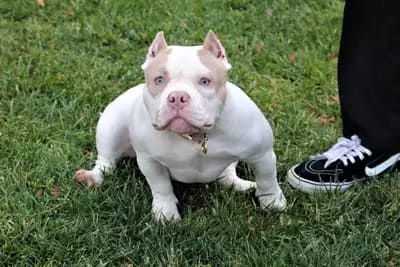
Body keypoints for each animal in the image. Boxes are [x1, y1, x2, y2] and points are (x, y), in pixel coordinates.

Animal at [75, 30, 288, 222]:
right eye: (159, 80)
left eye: (205, 81)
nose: (177, 96)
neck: (194, 136)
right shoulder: (150, 162)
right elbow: (161, 187)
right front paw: (166, 213)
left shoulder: (261, 154)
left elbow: (267, 180)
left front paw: (273, 203)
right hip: (111, 128)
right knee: (106, 162)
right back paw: (92, 177)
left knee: (227, 174)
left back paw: (243, 185)